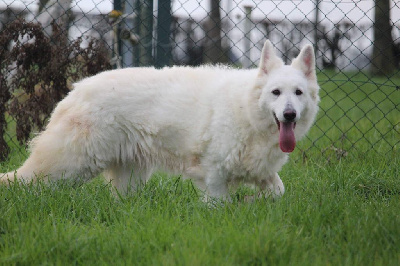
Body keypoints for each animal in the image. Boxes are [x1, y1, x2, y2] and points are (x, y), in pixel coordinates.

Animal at [0, 40, 318, 200]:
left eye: (298, 93)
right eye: (275, 92)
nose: (289, 114)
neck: (247, 111)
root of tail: (75, 90)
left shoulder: (261, 172)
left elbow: (277, 192)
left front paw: (255, 203)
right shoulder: (214, 176)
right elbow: (220, 206)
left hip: (128, 176)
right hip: (69, 165)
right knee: (25, 181)